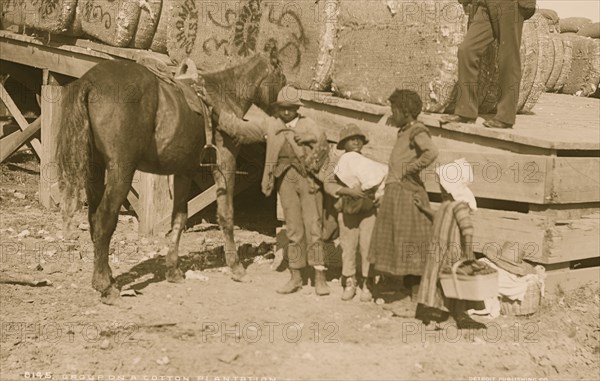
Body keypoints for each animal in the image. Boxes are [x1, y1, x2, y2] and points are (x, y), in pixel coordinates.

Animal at [57, 46, 288, 302]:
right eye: (282, 77)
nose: (283, 115)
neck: (223, 98)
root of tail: (88, 82)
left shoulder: (183, 173)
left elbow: (179, 217)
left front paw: (173, 270)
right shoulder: (224, 164)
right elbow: (226, 214)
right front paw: (236, 267)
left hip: (95, 172)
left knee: (93, 220)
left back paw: (107, 277)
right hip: (121, 172)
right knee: (104, 220)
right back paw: (104, 285)